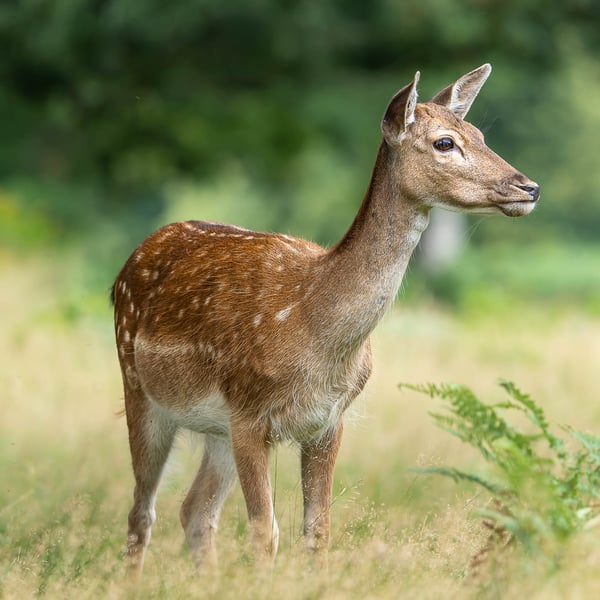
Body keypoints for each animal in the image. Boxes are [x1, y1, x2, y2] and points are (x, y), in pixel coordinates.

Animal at [111, 64, 540, 580]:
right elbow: (266, 531)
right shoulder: (249, 412)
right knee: (142, 512)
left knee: (194, 510)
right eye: (444, 142)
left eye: (479, 133)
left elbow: (317, 530)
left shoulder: (328, 421)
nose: (529, 188)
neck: (314, 331)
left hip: (215, 428)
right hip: (140, 389)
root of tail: (130, 262)